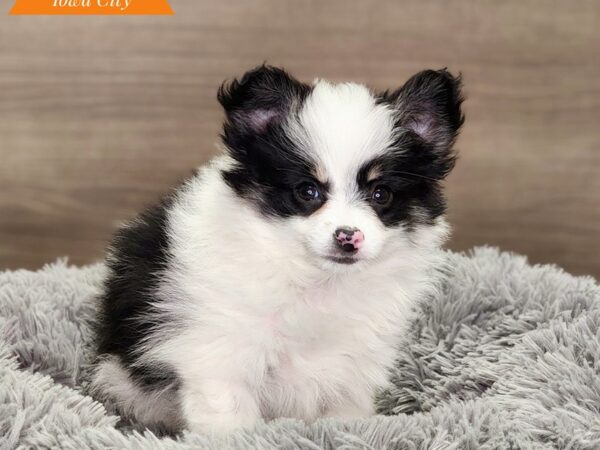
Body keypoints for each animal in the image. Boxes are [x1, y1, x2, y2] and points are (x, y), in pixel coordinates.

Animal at [90, 65, 464, 434]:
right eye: (308, 191)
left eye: (381, 194)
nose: (348, 237)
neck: (315, 279)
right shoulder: (222, 357)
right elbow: (231, 422)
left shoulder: (353, 367)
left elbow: (345, 417)